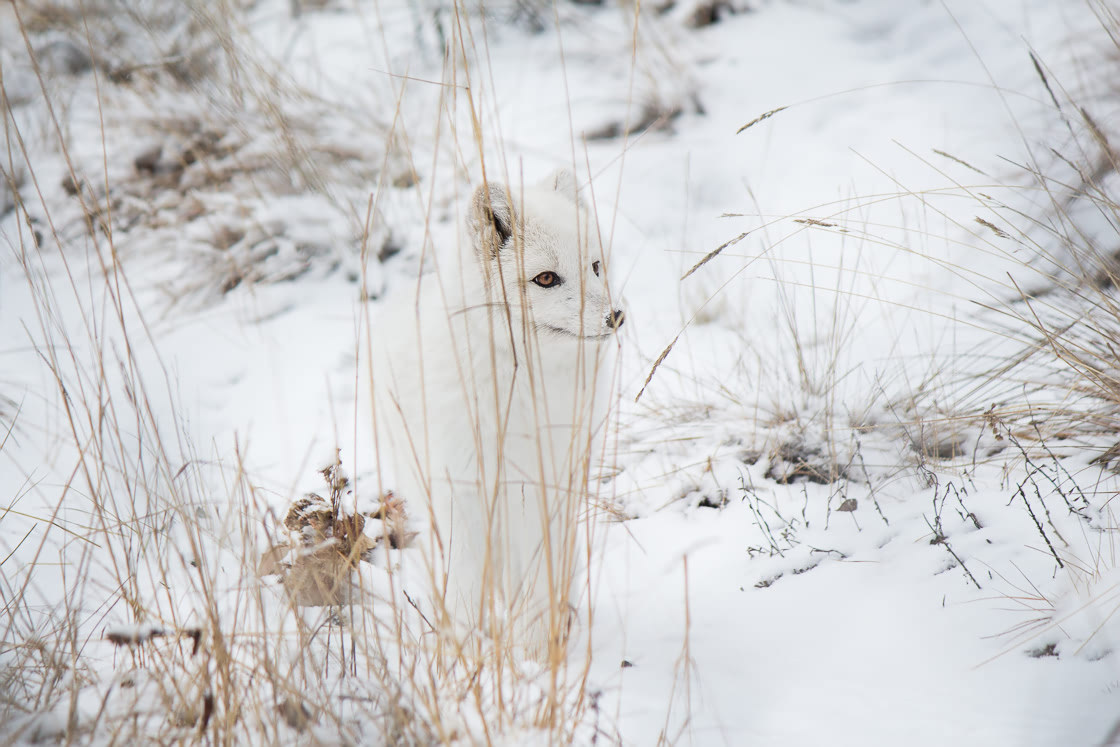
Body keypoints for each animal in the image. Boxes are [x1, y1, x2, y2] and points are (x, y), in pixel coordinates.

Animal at [374, 169, 622, 654]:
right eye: (546, 278)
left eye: (595, 267)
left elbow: (539, 579)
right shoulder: (463, 492)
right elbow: (469, 587)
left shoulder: (551, 488)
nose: (615, 317)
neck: (524, 396)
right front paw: (470, 655)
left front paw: (536, 651)